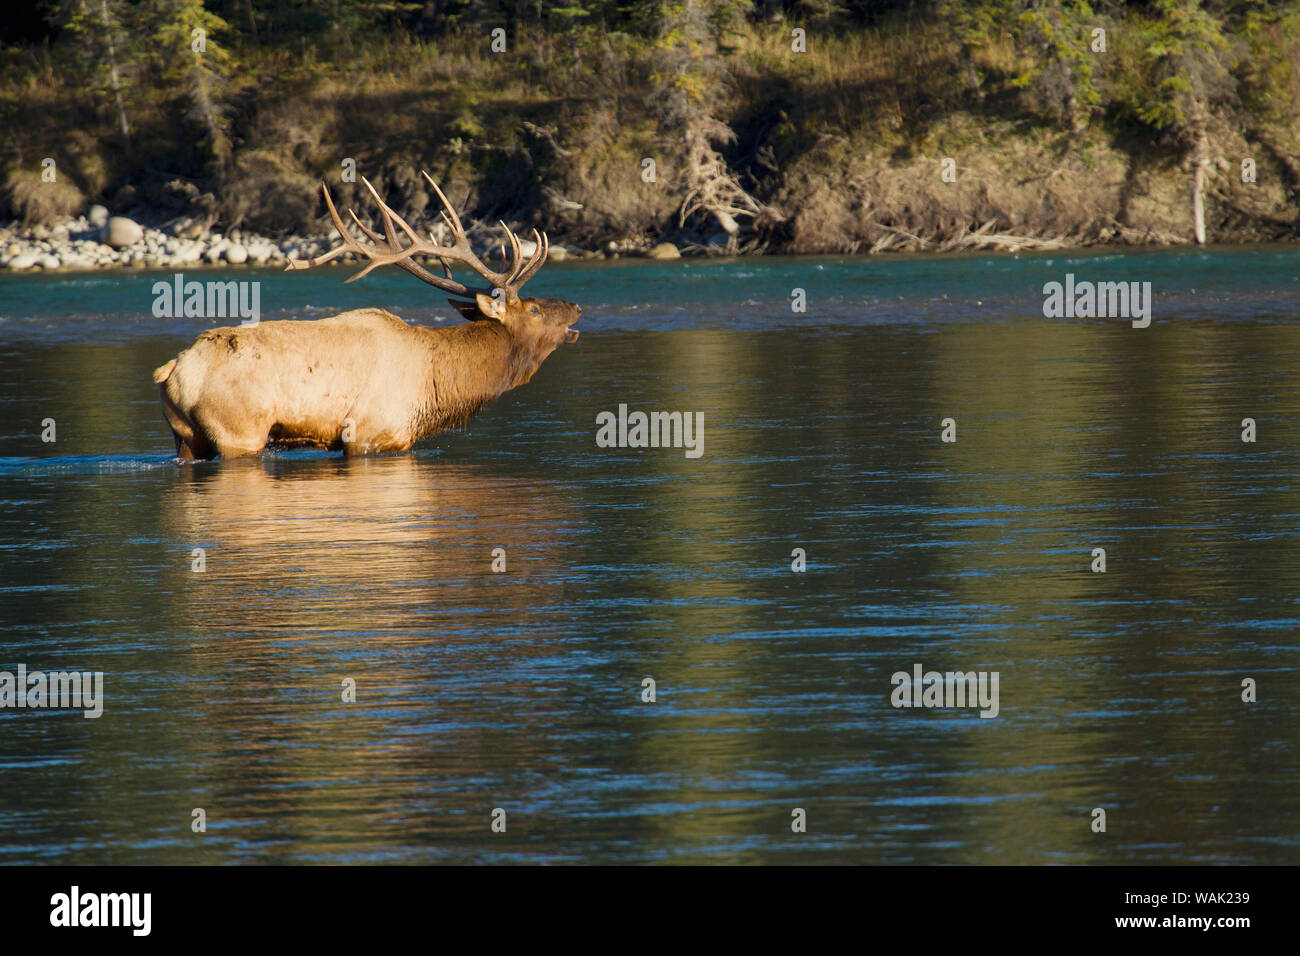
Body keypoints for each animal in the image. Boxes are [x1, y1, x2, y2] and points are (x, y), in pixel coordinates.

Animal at [152, 171, 580, 460]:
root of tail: (174, 368)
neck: (437, 387)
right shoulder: (368, 432)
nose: (576, 306)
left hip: (186, 437)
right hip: (239, 430)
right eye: (535, 309)